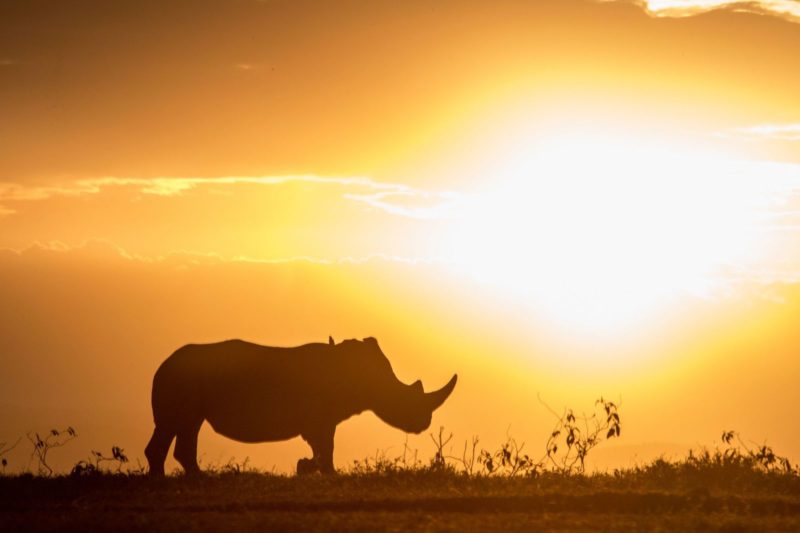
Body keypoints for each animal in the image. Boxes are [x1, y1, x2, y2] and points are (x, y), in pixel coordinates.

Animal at [144, 336, 456, 474]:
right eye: (404, 400)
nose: (423, 424)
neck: (369, 378)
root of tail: (162, 365)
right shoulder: (321, 418)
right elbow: (326, 447)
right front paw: (329, 473)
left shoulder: (320, 419)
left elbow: (322, 447)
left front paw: (307, 467)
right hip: (182, 378)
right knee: (180, 424)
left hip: (185, 380)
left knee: (181, 425)